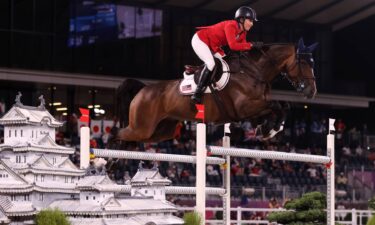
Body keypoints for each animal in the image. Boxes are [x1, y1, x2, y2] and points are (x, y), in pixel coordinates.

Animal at [116, 37, 318, 142]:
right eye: (304, 63)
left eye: (313, 63)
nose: (312, 91)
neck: (253, 71)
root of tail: (143, 90)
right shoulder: (244, 107)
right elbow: (277, 105)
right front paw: (270, 130)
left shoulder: (254, 109)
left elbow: (283, 107)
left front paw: (268, 130)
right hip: (141, 127)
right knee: (117, 135)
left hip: (159, 131)